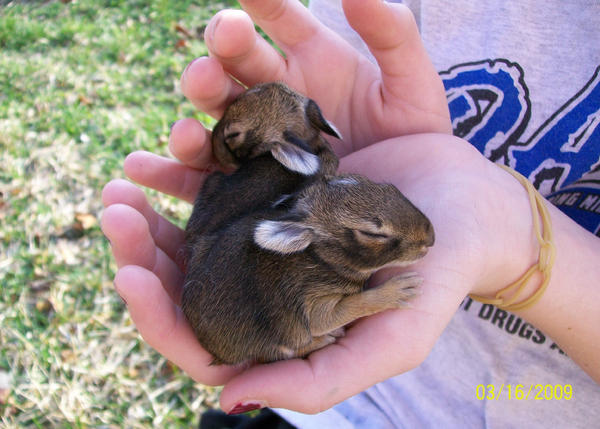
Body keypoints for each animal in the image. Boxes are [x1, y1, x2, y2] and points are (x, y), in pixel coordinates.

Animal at [180, 172, 434, 362]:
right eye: (372, 234)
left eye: (389, 187)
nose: (430, 239)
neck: (323, 258)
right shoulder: (312, 302)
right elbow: (353, 306)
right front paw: (400, 290)